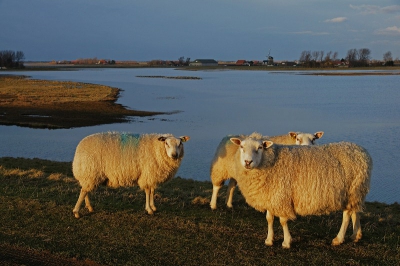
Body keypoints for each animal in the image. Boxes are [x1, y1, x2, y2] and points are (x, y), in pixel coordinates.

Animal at [230, 135, 374, 249]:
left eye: (260, 147)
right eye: (241, 146)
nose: (248, 162)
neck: (270, 160)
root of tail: (361, 151)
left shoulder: (282, 196)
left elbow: (283, 221)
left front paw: (286, 242)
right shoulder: (271, 196)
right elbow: (269, 219)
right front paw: (269, 240)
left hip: (352, 190)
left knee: (347, 215)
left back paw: (338, 239)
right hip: (355, 191)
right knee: (355, 210)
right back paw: (356, 235)